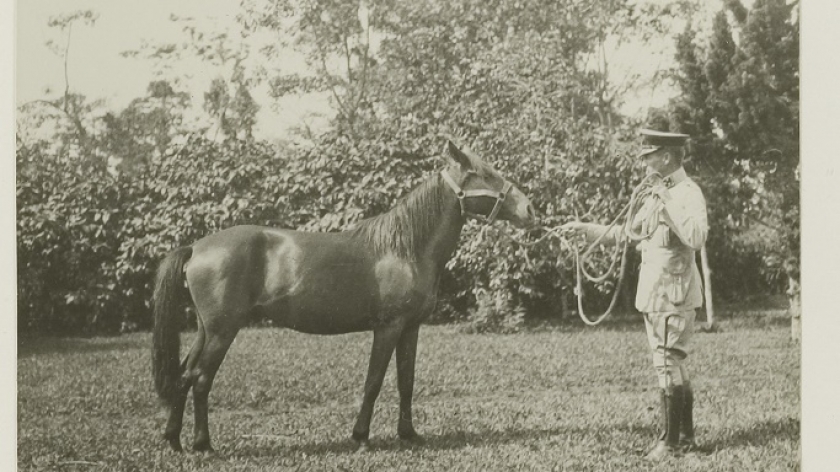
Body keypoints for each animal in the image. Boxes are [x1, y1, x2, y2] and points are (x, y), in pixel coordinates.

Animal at [152, 141, 536, 454]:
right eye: (483, 173)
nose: (530, 210)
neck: (405, 248)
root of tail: (196, 247)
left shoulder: (410, 328)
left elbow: (406, 382)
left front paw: (409, 435)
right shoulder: (388, 327)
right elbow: (374, 382)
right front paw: (361, 437)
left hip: (207, 330)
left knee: (184, 376)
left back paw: (174, 440)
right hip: (223, 331)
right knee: (201, 379)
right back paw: (203, 444)